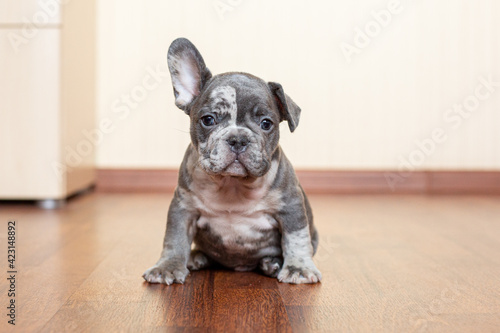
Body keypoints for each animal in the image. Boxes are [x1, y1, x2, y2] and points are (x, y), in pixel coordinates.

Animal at [142, 38, 320, 282]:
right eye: (208, 120)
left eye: (266, 123)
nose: (238, 139)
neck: (232, 184)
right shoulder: (183, 207)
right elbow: (174, 239)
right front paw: (167, 266)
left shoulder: (291, 207)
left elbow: (296, 239)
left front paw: (298, 268)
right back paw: (196, 257)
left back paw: (272, 263)